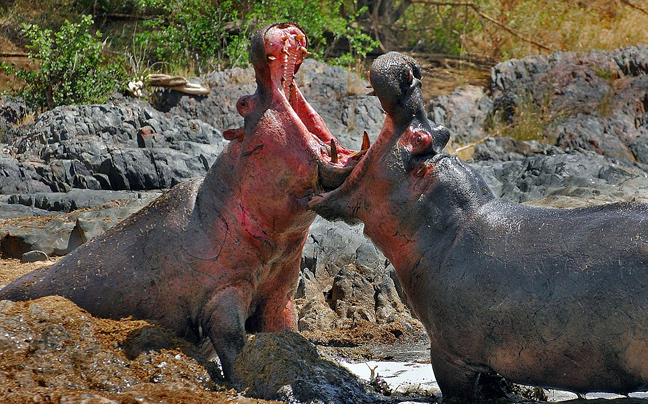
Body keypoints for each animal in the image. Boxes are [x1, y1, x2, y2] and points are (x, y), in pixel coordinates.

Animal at [1, 22, 360, 382]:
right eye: (243, 103)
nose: (278, 27)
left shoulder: (278, 295)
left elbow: (287, 334)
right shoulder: (222, 298)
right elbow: (234, 347)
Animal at [308, 52, 648, 400]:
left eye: (420, 138)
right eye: (443, 133)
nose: (412, 72)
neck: (448, 228)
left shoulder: (450, 355)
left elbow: (456, 390)